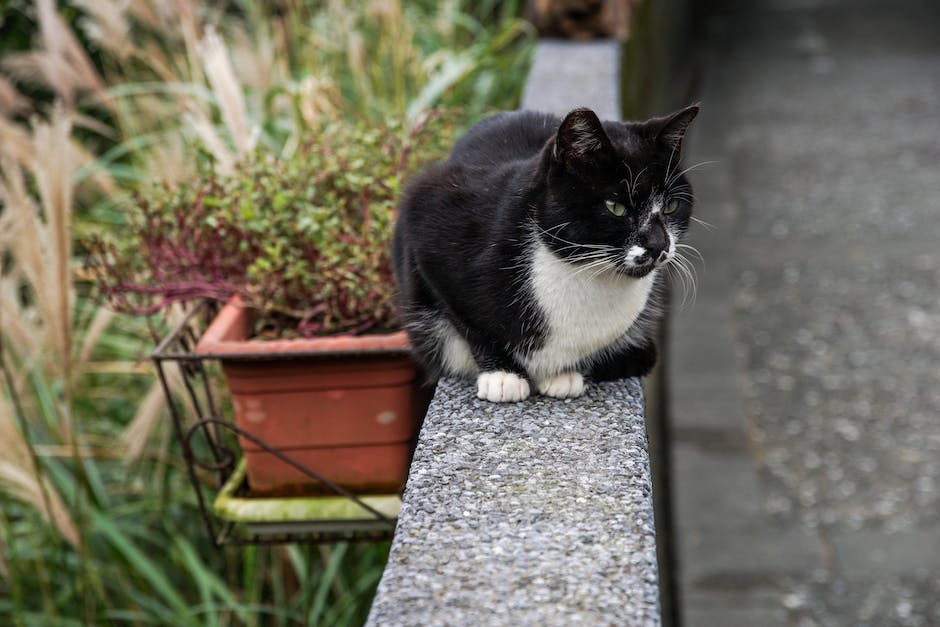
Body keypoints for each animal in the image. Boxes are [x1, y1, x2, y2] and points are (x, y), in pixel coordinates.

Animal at [392, 105, 696, 402]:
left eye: (671, 206)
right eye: (616, 207)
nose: (658, 244)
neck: (581, 270)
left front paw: (564, 374)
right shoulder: (430, 220)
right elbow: (468, 322)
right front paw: (502, 375)